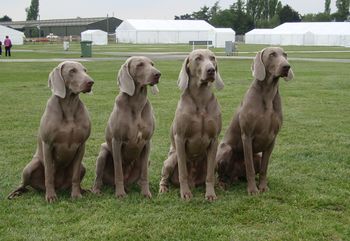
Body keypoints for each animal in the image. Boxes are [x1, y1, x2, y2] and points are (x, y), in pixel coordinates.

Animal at [8, 61, 94, 202]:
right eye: (72, 71)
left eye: (85, 70)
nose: (91, 82)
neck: (69, 106)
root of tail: (60, 187)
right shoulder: (48, 145)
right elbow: (48, 173)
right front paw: (50, 197)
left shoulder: (81, 145)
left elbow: (75, 176)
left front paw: (76, 194)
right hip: (29, 167)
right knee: (24, 184)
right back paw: (16, 193)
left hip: (83, 167)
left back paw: (83, 190)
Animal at [91, 56, 160, 198]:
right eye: (140, 65)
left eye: (152, 64)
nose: (158, 74)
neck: (137, 104)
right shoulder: (117, 141)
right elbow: (118, 171)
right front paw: (120, 194)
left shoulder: (147, 142)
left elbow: (145, 173)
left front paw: (146, 193)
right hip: (103, 152)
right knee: (99, 177)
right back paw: (97, 190)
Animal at [159, 48, 224, 201]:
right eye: (198, 58)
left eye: (212, 58)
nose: (211, 70)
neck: (200, 99)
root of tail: (193, 182)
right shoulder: (180, 138)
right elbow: (182, 171)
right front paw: (185, 193)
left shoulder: (214, 140)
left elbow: (210, 175)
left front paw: (210, 194)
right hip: (171, 159)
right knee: (165, 176)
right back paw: (164, 188)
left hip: (215, 161)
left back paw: (219, 186)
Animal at [216, 46, 292, 194]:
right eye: (272, 54)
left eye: (285, 54)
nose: (286, 66)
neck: (268, 94)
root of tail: (233, 176)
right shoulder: (247, 136)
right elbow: (250, 168)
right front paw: (252, 190)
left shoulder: (272, 139)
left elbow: (264, 168)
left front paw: (262, 187)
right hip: (225, 149)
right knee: (220, 175)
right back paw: (223, 184)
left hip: (257, 156)